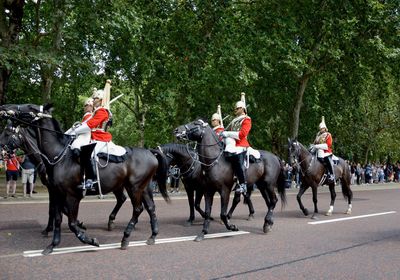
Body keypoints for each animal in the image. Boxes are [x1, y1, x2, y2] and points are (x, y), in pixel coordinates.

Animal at [0, 104, 169, 255]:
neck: (58, 156)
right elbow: (57, 217)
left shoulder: (72, 195)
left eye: (28, 107)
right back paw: (152, 235)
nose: (4, 109)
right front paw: (52, 245)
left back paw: (125, 238)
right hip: (142, 187)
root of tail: (150, 152)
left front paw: (89, 239)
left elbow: (71, 222)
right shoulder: (56, 192)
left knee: (137, 209)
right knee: (150, 207)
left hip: (134, 187)